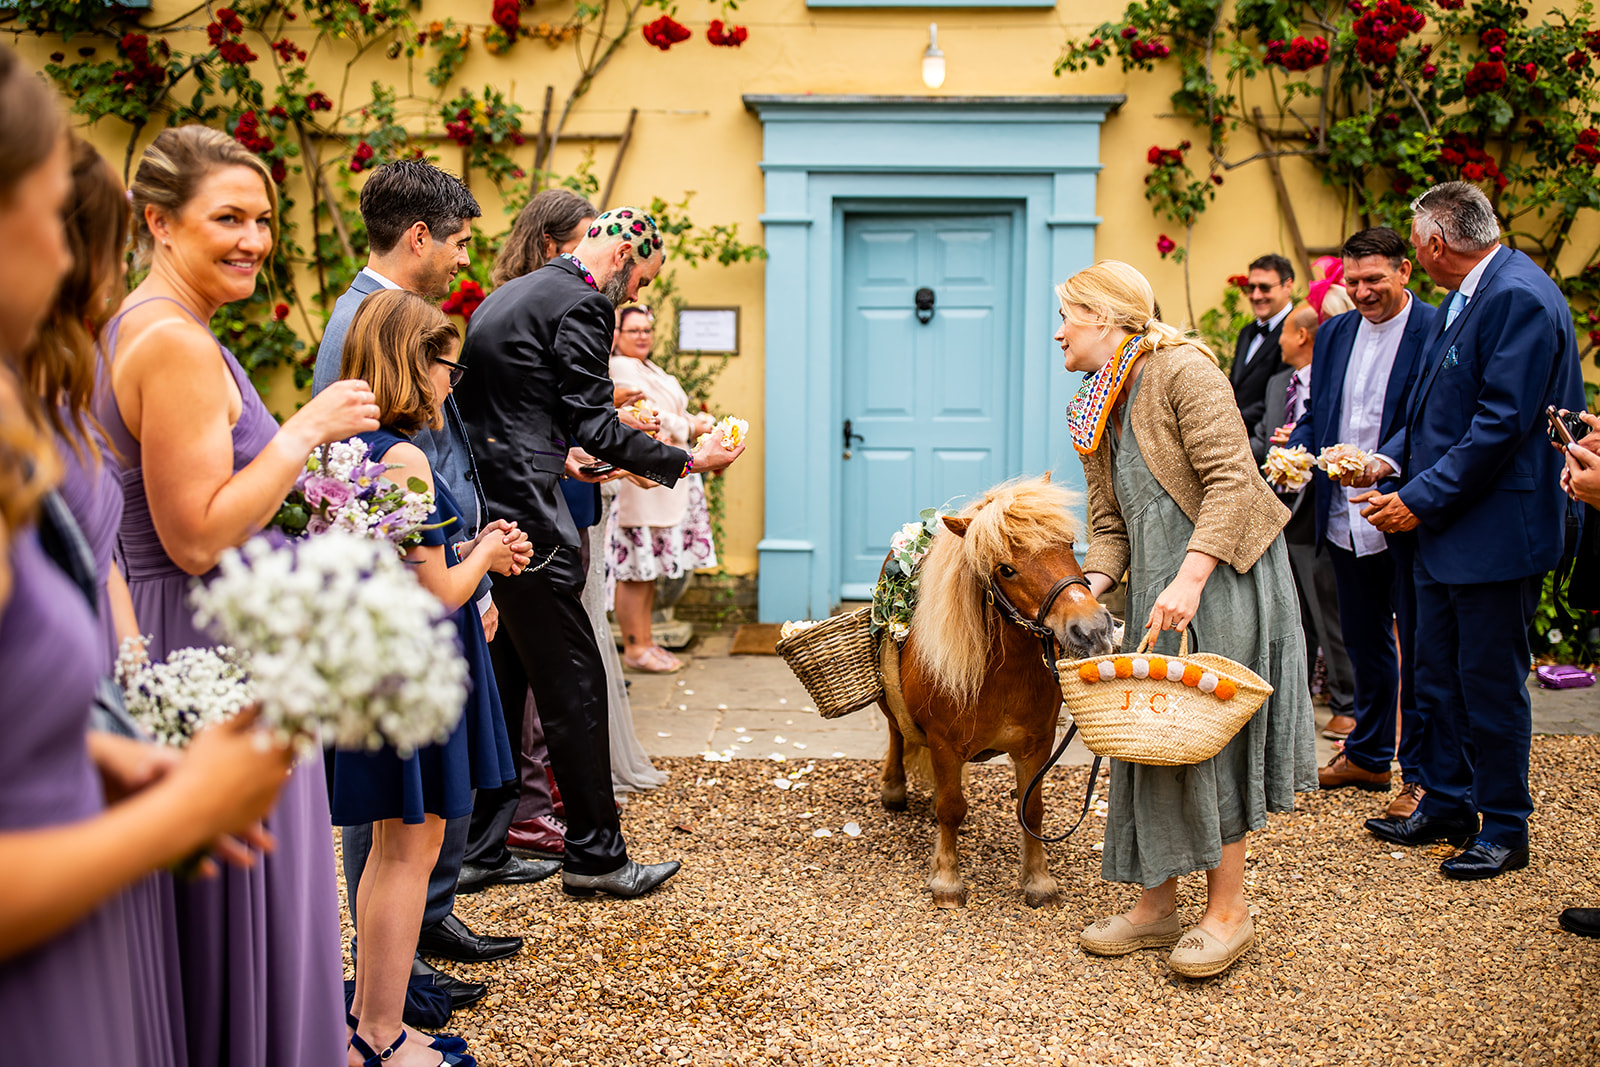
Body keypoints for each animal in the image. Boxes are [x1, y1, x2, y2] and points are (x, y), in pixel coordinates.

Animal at [876, 476, 1113, 908]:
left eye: (1069, 543)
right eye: (1006, 569)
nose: (1092, 629)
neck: (1002, 677)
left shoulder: (1037, 743)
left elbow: (1031, 810)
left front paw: (1038, 880)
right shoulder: (944, 744)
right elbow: (951, 809)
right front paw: (947, 880)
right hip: (890, 701)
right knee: (895, 732)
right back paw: (894, 787)